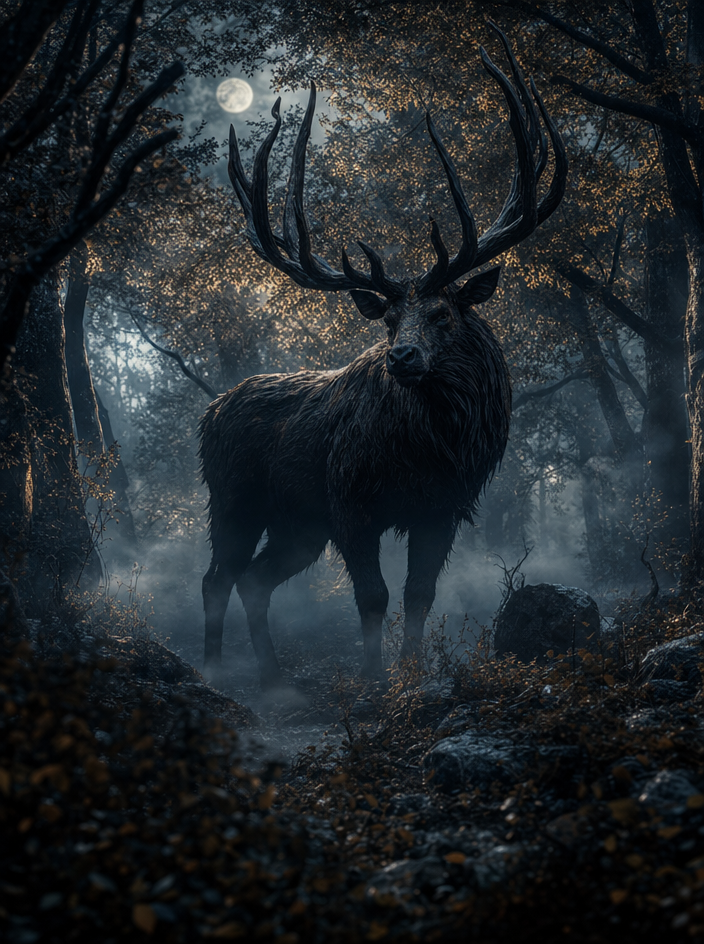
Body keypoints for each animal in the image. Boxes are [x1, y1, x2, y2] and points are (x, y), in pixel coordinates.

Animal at [199, 26, 566, 689]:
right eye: (391, 319)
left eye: (443, 313)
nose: (402, 357)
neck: (428, 450)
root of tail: (207, 415)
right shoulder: (349, 502)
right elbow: (372, 596)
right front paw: (373, 683)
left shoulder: (443, 509)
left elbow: (419, 594)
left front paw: (411, 676)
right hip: (235, 496)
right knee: (218, 577)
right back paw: (216, 670)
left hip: (297, 523)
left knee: (254, 580)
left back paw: (274, 678)